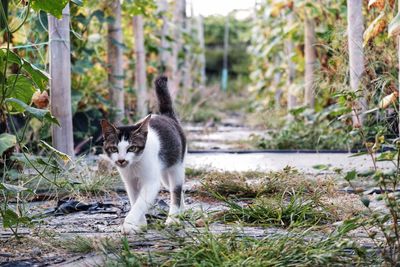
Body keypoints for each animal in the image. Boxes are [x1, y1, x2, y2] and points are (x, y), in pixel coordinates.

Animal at [101, 76, 187, 234]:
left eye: (132, 148)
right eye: (114, 149)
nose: (121, 160)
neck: (134, 165)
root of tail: (167, 116)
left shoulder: (151, 182)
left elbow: (140, 203)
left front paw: (128, 224)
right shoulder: (130, 182)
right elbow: (135, 200)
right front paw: (140, 225)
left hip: (176, 164)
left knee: (176, 189)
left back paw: (173, 218)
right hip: (164, 172)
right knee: (175, 189)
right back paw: (181, 211)